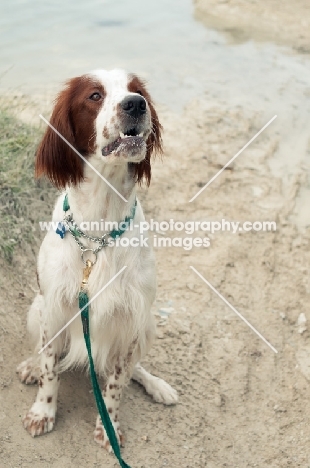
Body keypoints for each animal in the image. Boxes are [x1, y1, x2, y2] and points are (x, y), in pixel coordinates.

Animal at [16, 67, 177, 452]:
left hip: (148, 324)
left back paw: (157, 386)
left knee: (135, 370)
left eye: (136, 90)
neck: (98, 230)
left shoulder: (130, 319)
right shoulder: (54, 306)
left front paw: (109, 427)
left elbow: (117, 383)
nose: (136, 104)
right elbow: (49, 369)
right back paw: (30, 366)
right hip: (35, 307)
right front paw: (43, 411)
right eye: (94, 96)